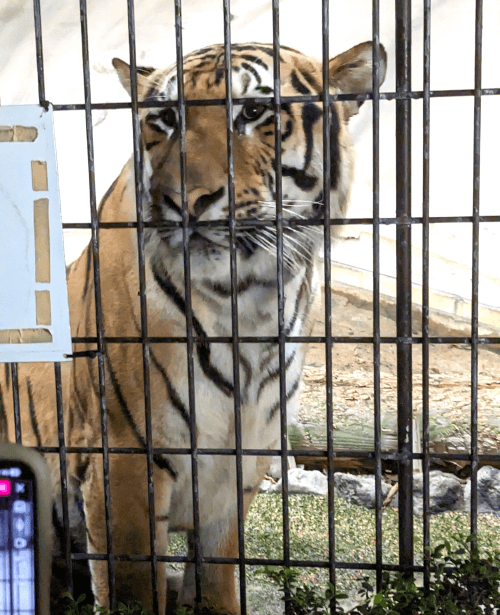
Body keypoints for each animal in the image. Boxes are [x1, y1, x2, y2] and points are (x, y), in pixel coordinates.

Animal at [0, 41, 386, 612]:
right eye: (166, 118)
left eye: (253, 112)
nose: (186, 201)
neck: (247, 301)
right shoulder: (127, 456)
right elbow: (134, 587)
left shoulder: (242, 459)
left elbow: (218, 576)